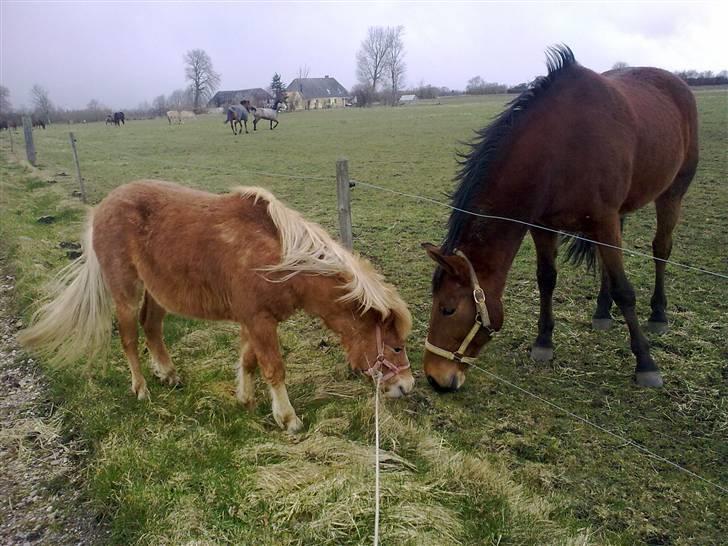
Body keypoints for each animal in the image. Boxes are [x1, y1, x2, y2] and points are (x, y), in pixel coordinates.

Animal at [18, 178, 416, 430]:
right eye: (396, 346)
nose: (407, 387)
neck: (282, 262)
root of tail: (101, 208)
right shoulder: (259, 321)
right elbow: (273, 368)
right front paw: (288, 419)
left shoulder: (253, 321)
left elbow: (249, 361)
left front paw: (245, 399)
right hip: (125, 292)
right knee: (129, 337)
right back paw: (142, 389)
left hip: (158, 293)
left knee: (152, 327)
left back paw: (168, 374)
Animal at [424, 43, 696, 392]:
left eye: (448, 309)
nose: (434, 377)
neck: (562, 146)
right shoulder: (544, 225)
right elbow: (547, 279)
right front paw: (543, 342)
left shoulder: (603, 220)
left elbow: (624, 290)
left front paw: (646, 363)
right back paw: (602, 311)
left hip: (671, 193)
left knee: (661, 249)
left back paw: (659, 314)